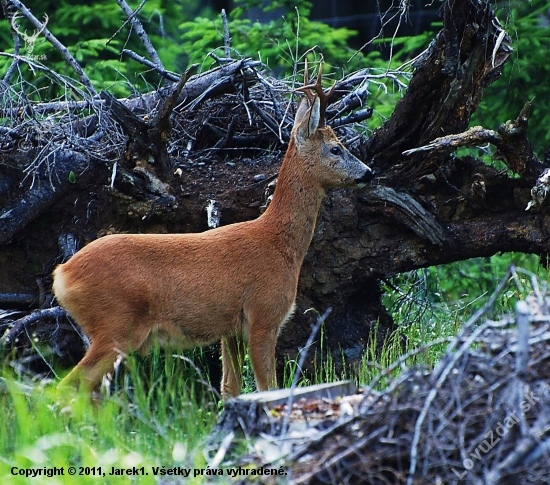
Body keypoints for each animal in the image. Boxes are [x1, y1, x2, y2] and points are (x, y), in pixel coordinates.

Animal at [54, 70, 376, 398]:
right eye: (336, 148)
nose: (368, 172)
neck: (278, 244)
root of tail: (62, 274)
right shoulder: (263, 315)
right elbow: (268, 387)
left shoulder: (230, 330)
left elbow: (230, 389)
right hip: (114, 325)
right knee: (66, 387)